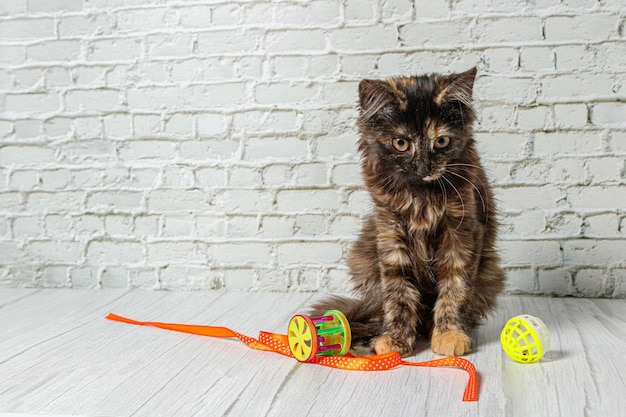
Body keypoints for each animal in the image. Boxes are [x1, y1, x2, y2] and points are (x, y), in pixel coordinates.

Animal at [312, 66, 502, 356]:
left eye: (442, 141)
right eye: (401, 143)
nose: (423, 168)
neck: (420, 195)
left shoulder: (462, 232)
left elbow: (455, 287)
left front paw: (450, 334)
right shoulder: (390, 232)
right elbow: (398, 292)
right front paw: (395, 338)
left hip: (491, 272)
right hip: (363, 259)